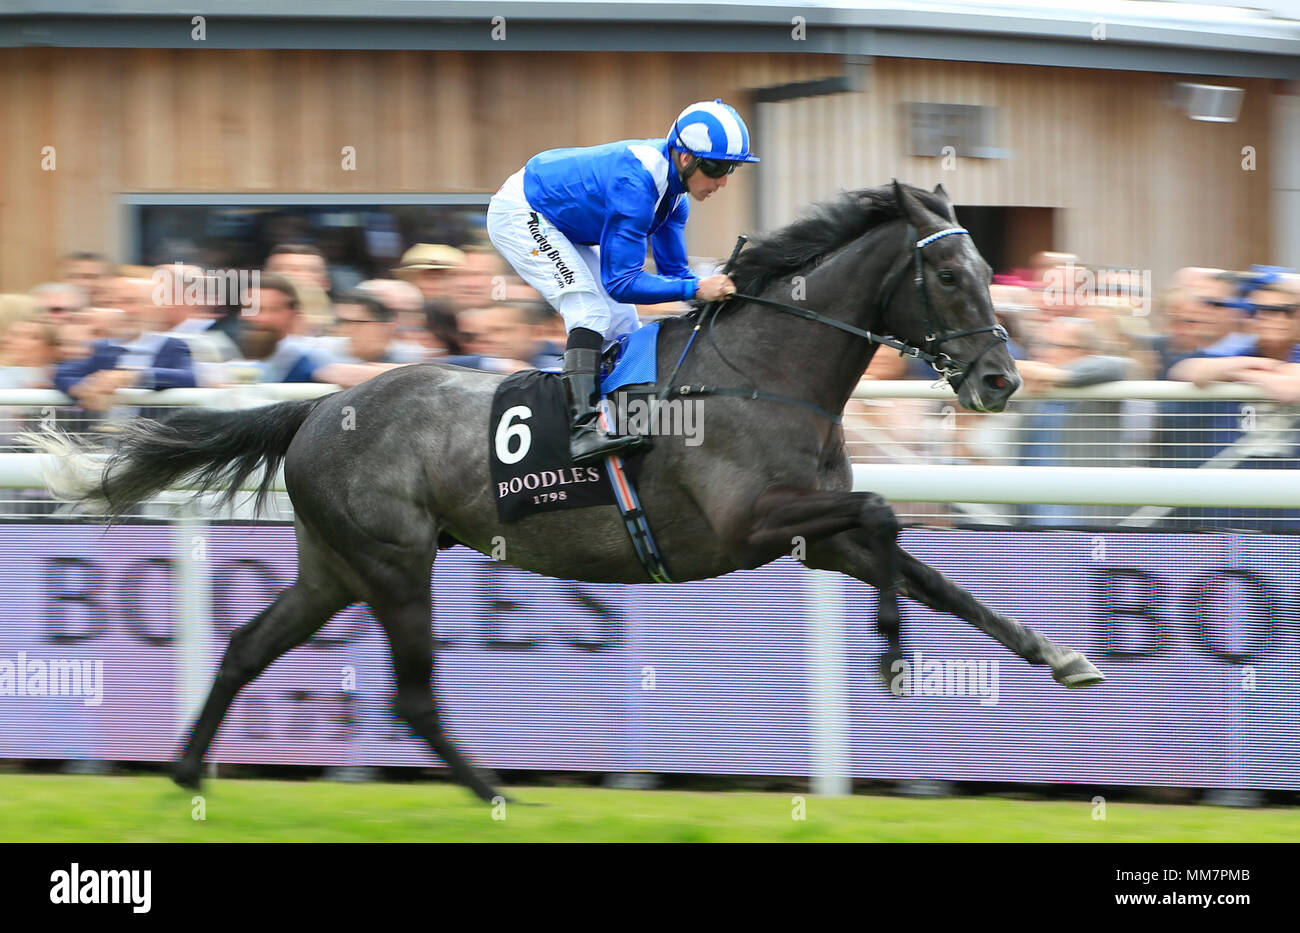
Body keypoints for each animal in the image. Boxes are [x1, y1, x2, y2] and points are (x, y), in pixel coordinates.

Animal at [30, 180, 1102, 805]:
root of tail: (320, 404)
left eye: (986, 267)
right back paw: (499, 793)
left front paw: (1059, 656)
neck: (762, 368)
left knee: (251, 645)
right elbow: (883, 518)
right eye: (952, 275)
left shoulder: (812, 532)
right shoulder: (750, 523)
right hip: (392, 562)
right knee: (411, 693)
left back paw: (186, 768)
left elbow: (935, 576)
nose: (1001, 380)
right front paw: (887, 655)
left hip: (334, 567)